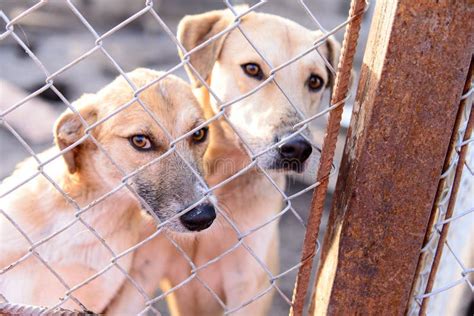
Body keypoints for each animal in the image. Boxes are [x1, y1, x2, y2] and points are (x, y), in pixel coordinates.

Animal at [107, 7, 338, 316]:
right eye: (252, 69)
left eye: (315, 82)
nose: (297, 148)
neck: (218, 177)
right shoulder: (142, 275)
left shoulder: (247, 286)